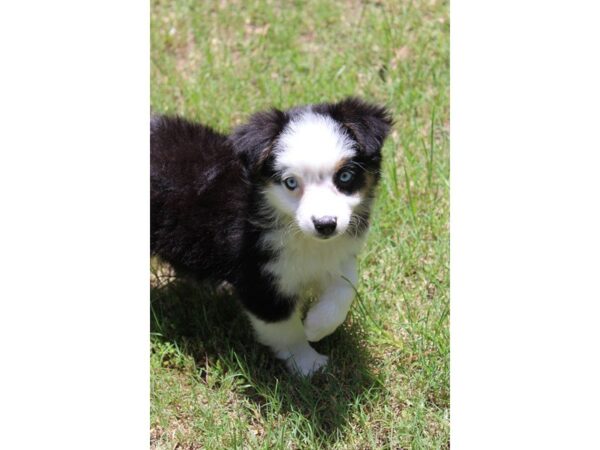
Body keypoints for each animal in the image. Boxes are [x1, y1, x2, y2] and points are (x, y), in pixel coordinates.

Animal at [152, 97, 392, 376]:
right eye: (291, 183)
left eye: (345, 176)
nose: (325, 225)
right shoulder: (260, 279)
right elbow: (285, 327)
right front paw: (309, 364)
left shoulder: (336, 254)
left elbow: (345, 287)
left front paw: (317, 325)